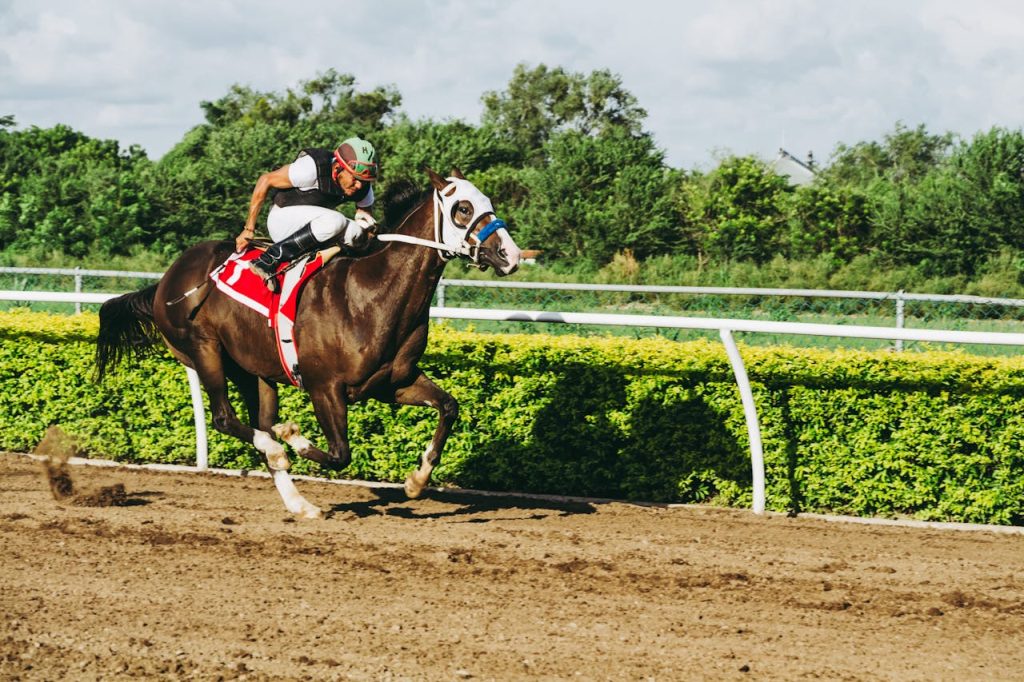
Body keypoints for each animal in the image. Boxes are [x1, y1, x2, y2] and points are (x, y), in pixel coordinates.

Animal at [95, 168, 522, 518]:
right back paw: (278, 449)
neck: (371, 293)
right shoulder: (324, 387)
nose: (511, 254)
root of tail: (165, 281)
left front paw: (417, 480)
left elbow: (449, 407)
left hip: (254, 371)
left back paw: (300, 503)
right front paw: (294, 438)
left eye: (488, 202)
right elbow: (339, 454)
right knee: (225, 419)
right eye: (462, 208)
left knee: (259, 422)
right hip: (204, 351)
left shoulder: (393, 382)